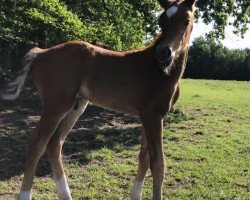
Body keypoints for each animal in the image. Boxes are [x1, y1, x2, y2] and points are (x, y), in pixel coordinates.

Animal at [0, 0, 197, 198]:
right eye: (161, 20)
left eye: (186, 21)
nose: (164, 53)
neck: (159, 70)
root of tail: (40, 53)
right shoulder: (153, 116)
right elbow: (158, 163)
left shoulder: (149, 117)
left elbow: (144, 156)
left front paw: (135, 195)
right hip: (56, 105)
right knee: (37, 143)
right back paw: (26, 195)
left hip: (76, 106)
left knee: (55, 144)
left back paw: (66, 195)